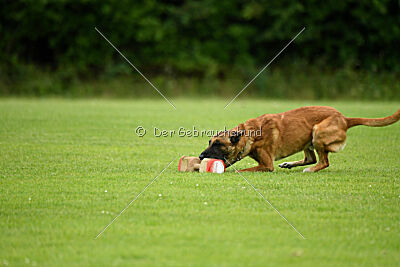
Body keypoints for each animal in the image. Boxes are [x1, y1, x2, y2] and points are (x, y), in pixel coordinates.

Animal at [199, 107, 400, 174]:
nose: (200, 156)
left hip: (317, 132)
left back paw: (310, 170)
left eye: (218, 144)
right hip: (307, 139)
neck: (250, 134)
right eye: (210, 142)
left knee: (323, 161)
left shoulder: (266, 165)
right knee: (311, 158)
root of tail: (345, 119)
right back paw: (290, 164)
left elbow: (243, 169)